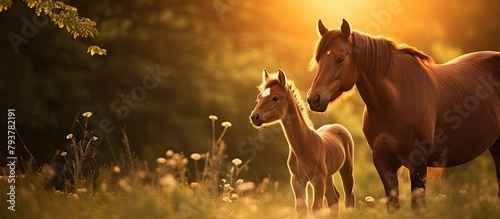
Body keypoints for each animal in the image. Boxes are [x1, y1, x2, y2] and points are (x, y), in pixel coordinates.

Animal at [250, 68, 356, 217]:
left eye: (275, 98)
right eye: (259, 97)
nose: (254, 117)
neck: (303, 145)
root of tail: (337, 126)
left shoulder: (317, 179)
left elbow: (316, 207)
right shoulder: (297, 179)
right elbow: (301, 208)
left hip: (346, 169)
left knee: (349, 199)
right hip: (328, 176)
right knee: (333, 199)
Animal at [306, 18, 500, 212]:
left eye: (340, 58)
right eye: (318, 59)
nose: (314, 99)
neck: (392, 102)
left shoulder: (418, 161)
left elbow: (418, 206)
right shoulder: (383, 161)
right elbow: (393, 204)